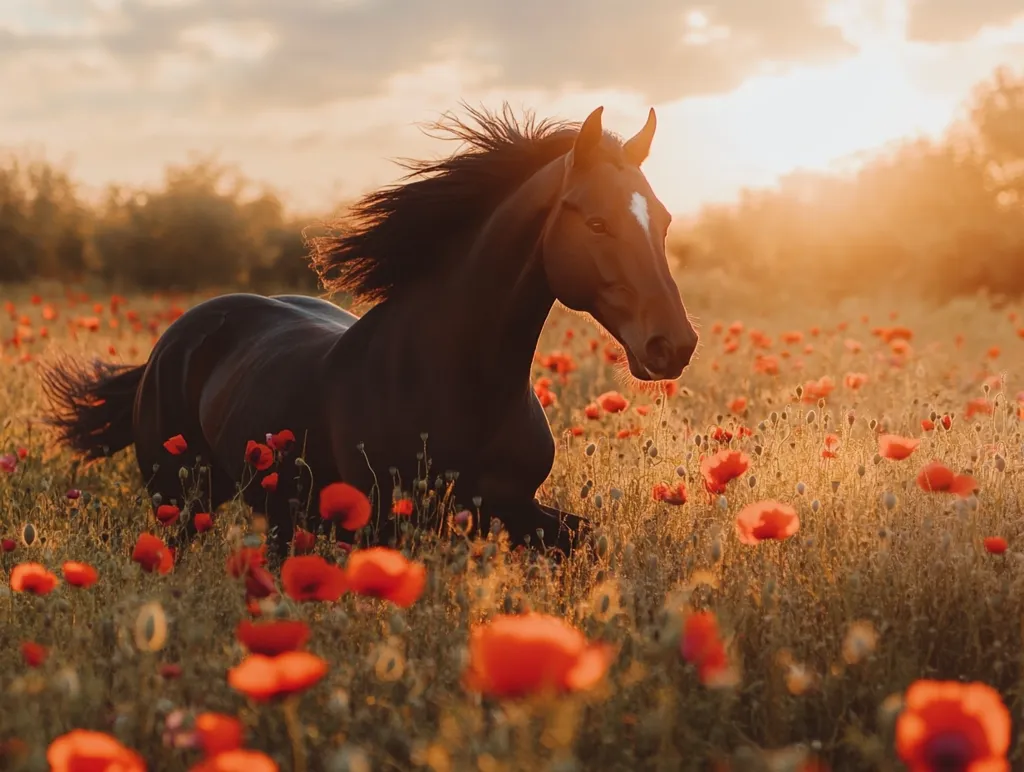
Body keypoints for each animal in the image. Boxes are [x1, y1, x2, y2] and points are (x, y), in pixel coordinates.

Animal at [41, 103, 699, 560]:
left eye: (665, 220)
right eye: (597, 222)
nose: (674, 345)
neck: (457, 382)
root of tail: (175, 338)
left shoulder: (514, 509)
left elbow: (592, 545)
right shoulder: (392, 527)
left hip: (272, 509)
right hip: (178, 500)